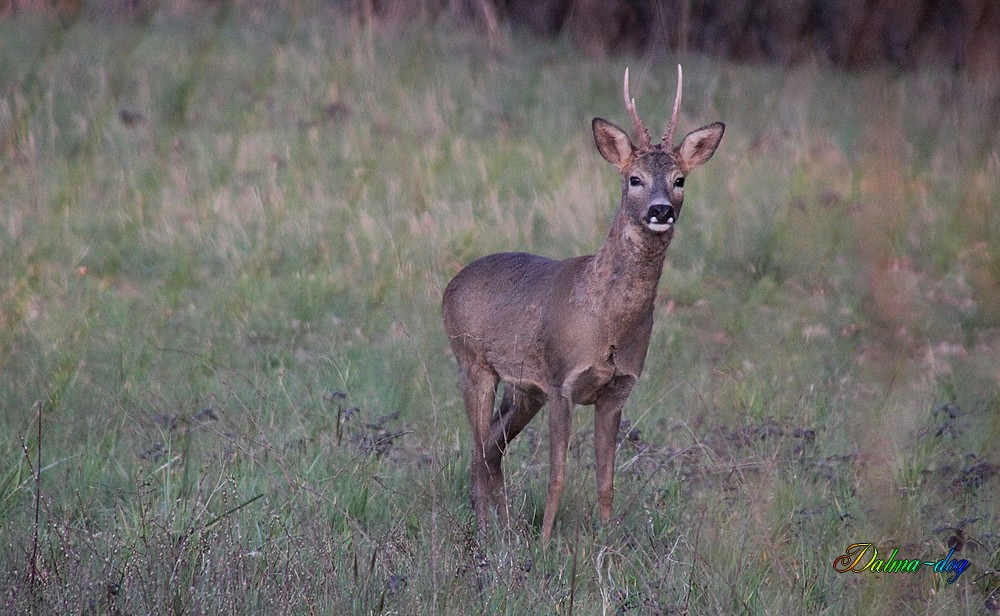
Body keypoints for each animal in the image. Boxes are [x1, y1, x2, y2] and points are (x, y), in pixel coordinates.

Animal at [442, 66, 724, 544]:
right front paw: (545, 543)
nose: (661, 210)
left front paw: (607, 544)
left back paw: (505, 528)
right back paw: (486, 533)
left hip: (523, 389)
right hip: (472, 362)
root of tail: (450, 285)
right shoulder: (562, 382)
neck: (607, 321)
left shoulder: (616, 390)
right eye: (634, 178)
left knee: (493, 447)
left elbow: (605, 480)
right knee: (479, 451)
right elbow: (557, 474)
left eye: (680, 180)